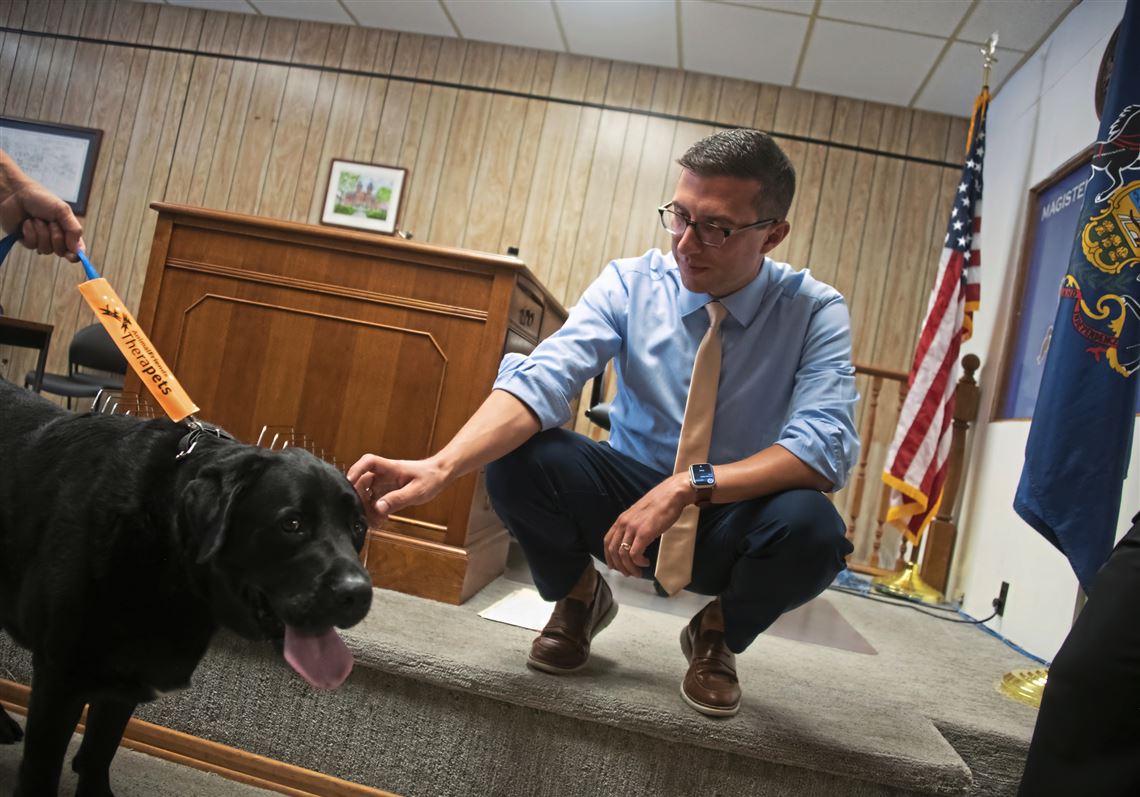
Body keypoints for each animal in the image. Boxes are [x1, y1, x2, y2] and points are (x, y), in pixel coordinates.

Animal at [0, 380, 373, 797]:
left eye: (358, 527)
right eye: (292, 524)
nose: (358, 594)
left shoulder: (130, 673)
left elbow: (99, 752)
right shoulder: (60, 677)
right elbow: (41, 770)